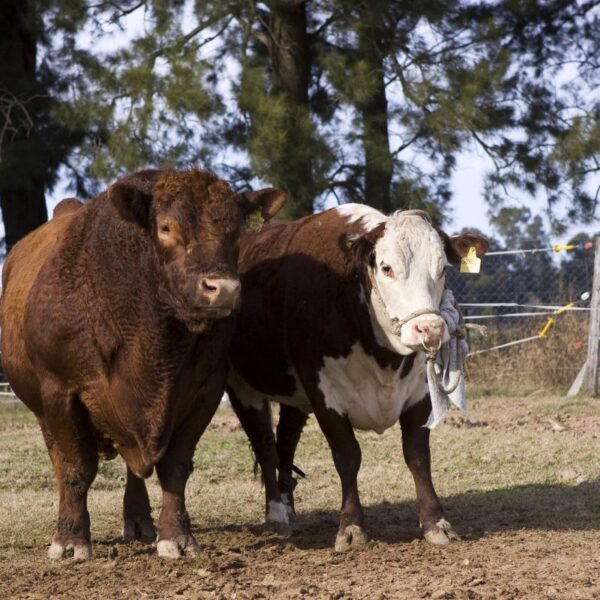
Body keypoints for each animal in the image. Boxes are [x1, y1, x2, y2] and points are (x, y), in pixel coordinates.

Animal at [0, 168, 286, 556]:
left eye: (237, 230)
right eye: (165, 227)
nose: (222, 289)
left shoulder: (204, 391)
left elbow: (175, 466)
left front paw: (176, 536)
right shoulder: (61, 393)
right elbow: (75, 468)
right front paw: (71, 540)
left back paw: (137, 520)